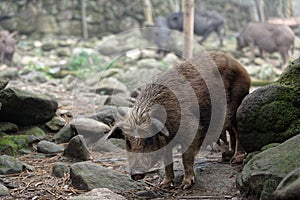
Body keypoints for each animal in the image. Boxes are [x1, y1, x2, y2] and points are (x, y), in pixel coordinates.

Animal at [106, 51, 251, 189]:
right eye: (128, 142)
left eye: (149, 139)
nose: (136, 174)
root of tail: (238, 63)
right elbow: (167, 160)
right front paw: (164, 185)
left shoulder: (192, 129)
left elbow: (185, 157)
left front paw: (185, 185)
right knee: (231, 131)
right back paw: (227, 156)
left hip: (237, 103)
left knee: (237, 131)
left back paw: (236, 159)